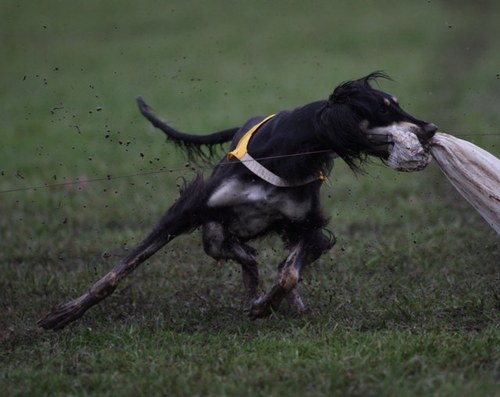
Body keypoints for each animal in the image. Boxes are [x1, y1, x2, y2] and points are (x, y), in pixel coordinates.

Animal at [39, 71, 438, 328]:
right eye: (383, 109)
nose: (431, 128)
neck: (289, 152)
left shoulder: (308, 226)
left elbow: (289, 273)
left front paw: (266, 305)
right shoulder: (189, 209)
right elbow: (118, 271)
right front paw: (64, 314)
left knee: (266, 262)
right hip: (214, 235)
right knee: (242, 254)